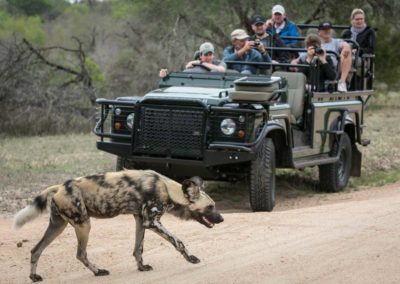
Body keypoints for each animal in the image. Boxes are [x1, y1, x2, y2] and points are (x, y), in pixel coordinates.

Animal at [13, 169, 225, 282]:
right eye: (210, 207)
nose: (222, 219)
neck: (167, 189)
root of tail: (60, 187)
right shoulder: (152, 222)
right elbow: (178, 241)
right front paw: (191, 258)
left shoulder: (140, 220)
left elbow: (138, 249)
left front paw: (142, 267)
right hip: (84, 225)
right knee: (80, 254)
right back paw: (98, 271)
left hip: (58, 226)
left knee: (35, 250)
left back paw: (34, 277)